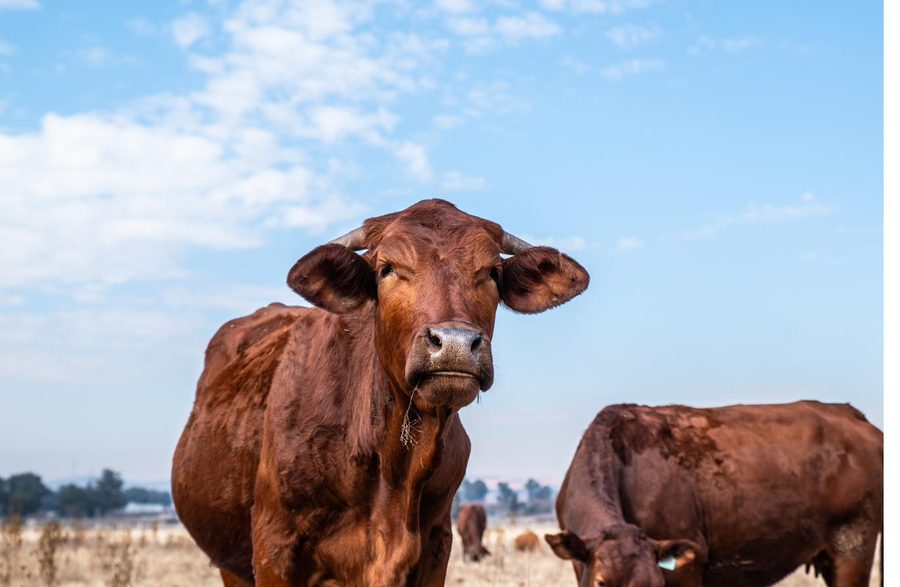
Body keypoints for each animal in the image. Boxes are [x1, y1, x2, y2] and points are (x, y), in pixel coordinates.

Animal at [171, 199, 589, 587]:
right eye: (387, 269)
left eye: (491, 273)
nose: (454, 343)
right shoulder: (274, 547)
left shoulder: (436, 544)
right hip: (232, 562)